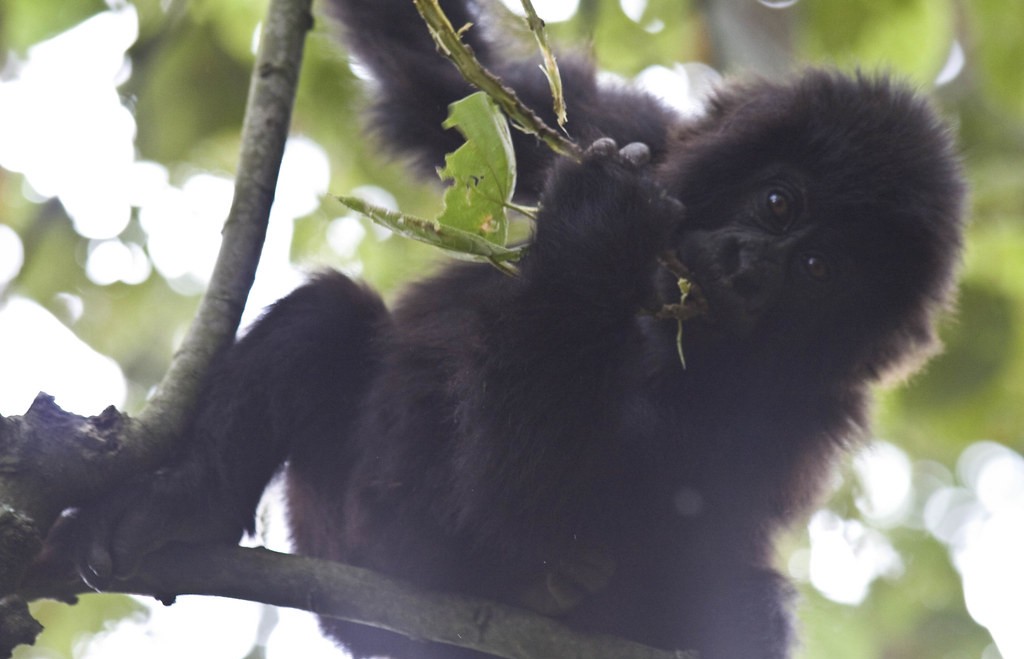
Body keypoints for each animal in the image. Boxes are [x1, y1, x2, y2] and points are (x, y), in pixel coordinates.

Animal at [67, 1, 967, 657]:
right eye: (779, 202)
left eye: (817, 272)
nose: (748, 265)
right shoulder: (626, 126)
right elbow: (443, 84)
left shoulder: (791, 414)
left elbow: (527, 506)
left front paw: (598, 235)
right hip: (336, 523)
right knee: (326, 317)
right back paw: (182, 506)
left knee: (749, 610)